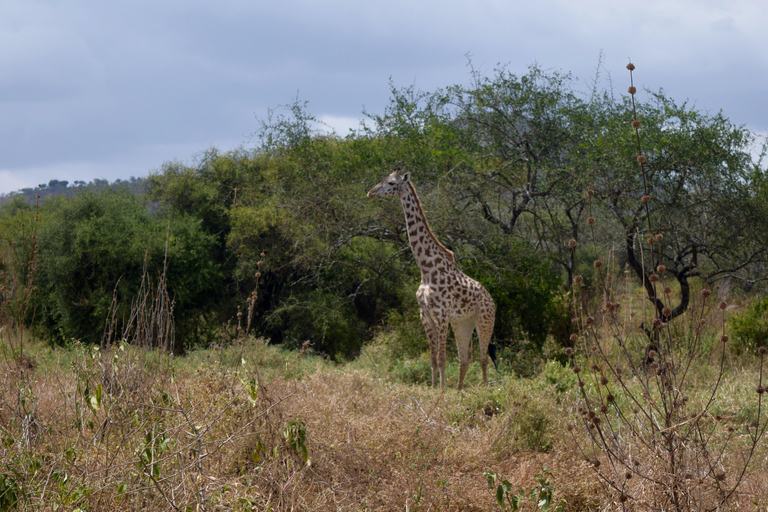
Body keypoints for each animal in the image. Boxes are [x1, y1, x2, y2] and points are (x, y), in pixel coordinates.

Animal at [368, 168, 498, 388]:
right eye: (383, 179)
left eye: (392, 183)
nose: (371, 192)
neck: (426, 269)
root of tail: (492, 300)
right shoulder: (426, 316)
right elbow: (432, 359)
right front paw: (434, 387)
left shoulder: (441, 315)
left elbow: (442, 359)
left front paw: (442, 390)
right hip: (462, 323)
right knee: (465, 358)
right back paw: (459, 389)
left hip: (484, 320)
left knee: (483, 357)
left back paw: (483, 388)